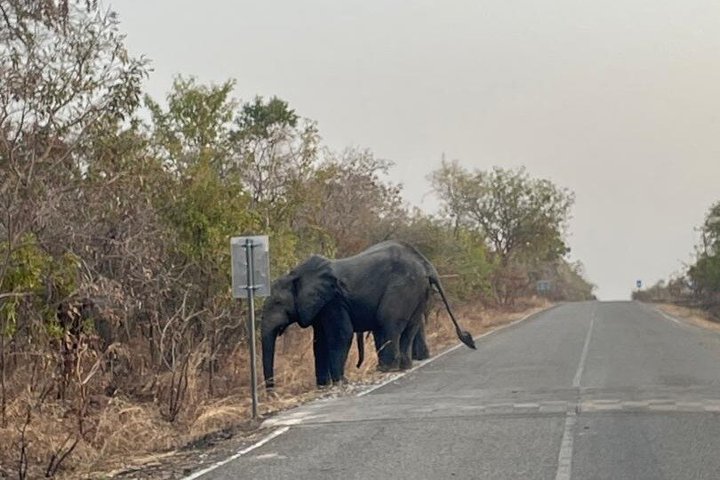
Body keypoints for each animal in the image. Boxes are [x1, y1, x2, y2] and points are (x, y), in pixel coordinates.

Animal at [260, 240, 476, 389]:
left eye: (277, 303)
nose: (271, 392)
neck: (296, 274)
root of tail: (426, 264)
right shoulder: (320, 305)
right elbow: (319, 341)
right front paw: (323, 386)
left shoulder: (334, 301)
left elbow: (340, 335)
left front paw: (341, 382)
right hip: (419, 292)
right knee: (409, 326)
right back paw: (402, 367)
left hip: (404, 287)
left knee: (387, 322)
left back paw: (386, 369)